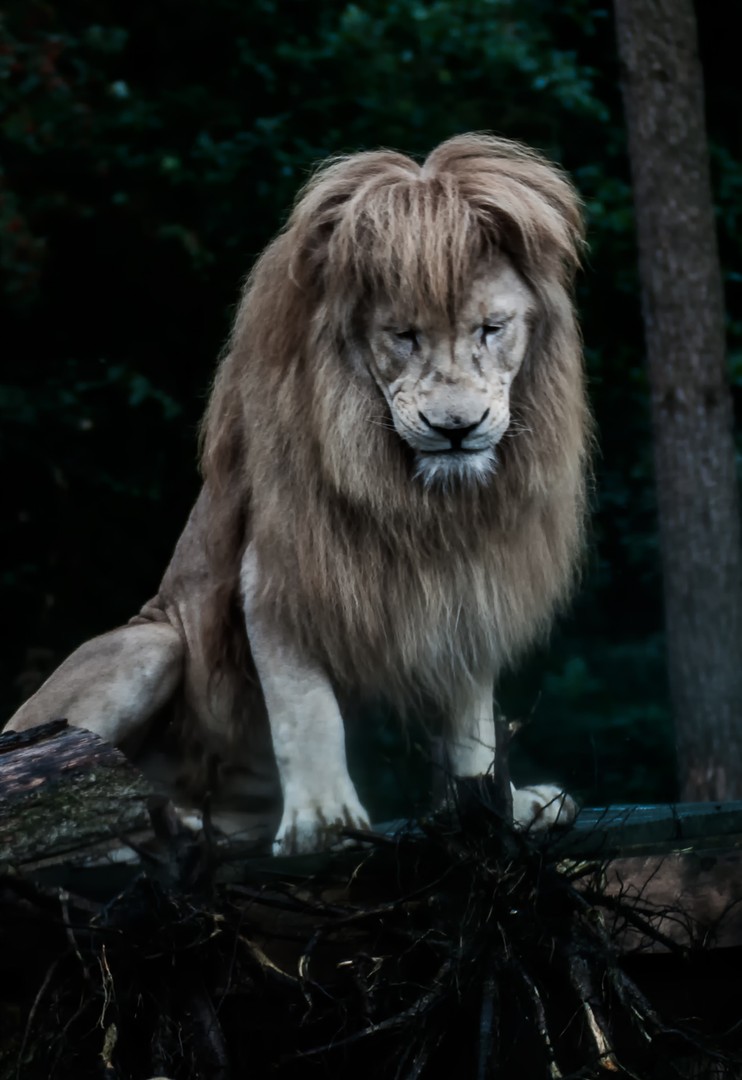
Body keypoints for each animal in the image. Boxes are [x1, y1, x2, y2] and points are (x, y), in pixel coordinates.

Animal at [6, 133, 590, 854]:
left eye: (490, 328)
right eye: (404, 335)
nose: (455, 429)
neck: (423, 502)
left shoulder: (471, 587)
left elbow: (471, 722)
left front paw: (492, 810)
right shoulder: (277, 573)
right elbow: (305, 707)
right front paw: (323, 819)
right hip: (149, 645)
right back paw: (161, 829)